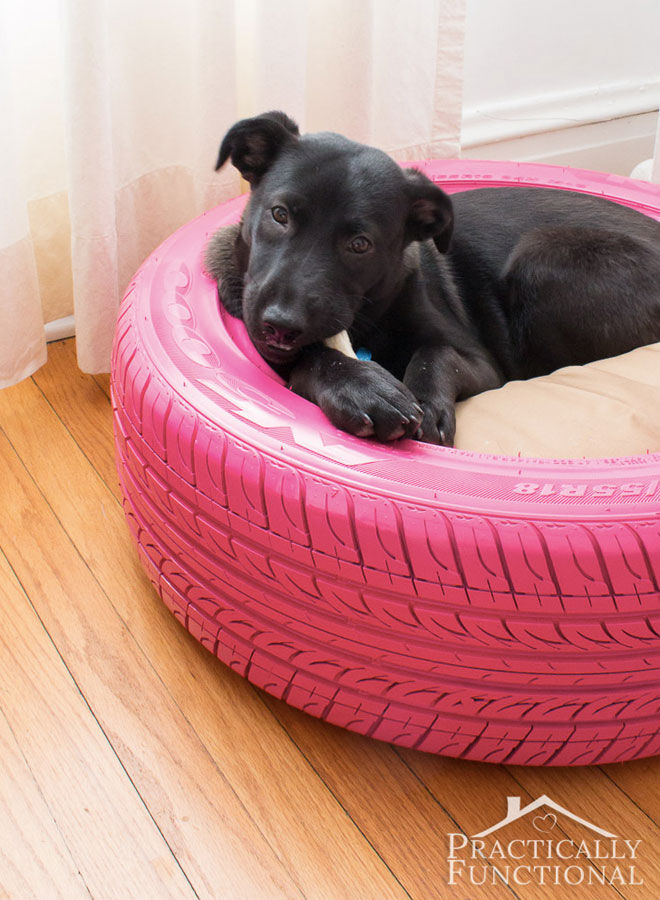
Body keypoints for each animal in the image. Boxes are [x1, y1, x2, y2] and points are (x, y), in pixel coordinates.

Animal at [205, 111, 660, 446]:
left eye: (360, 244)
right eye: (279, 214)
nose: (280, 325)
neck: (371, 316)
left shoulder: (483, 363)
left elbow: (437, 354)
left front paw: (424, 401)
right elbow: (312, 357)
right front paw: (363, 387)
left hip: (543, 256)